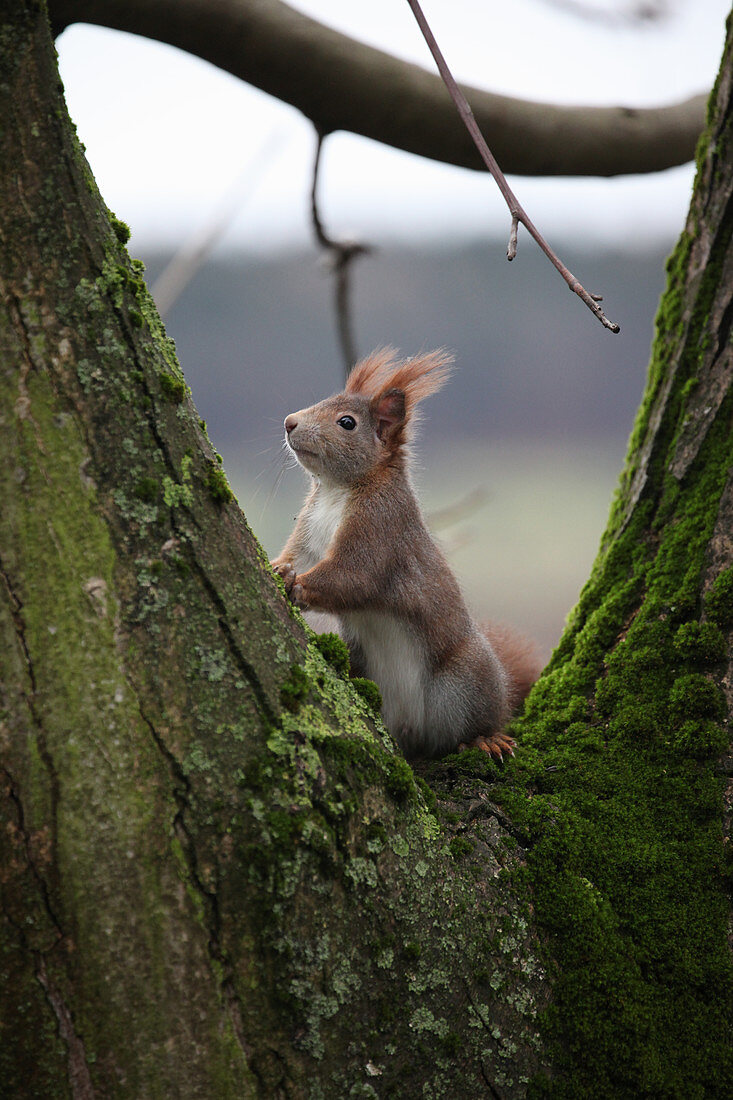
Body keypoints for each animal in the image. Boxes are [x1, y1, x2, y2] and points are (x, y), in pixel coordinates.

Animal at [270, 347, 539, 761]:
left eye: (346, 423)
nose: (289, 422)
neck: (336, 490)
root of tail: (411, 730)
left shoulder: (381, 527)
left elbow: (353, 575)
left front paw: (295, 584)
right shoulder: (309, 529)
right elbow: (297, 557)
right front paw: (279, 567)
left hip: (466, 679)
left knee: (478, 721)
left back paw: (486, 738)